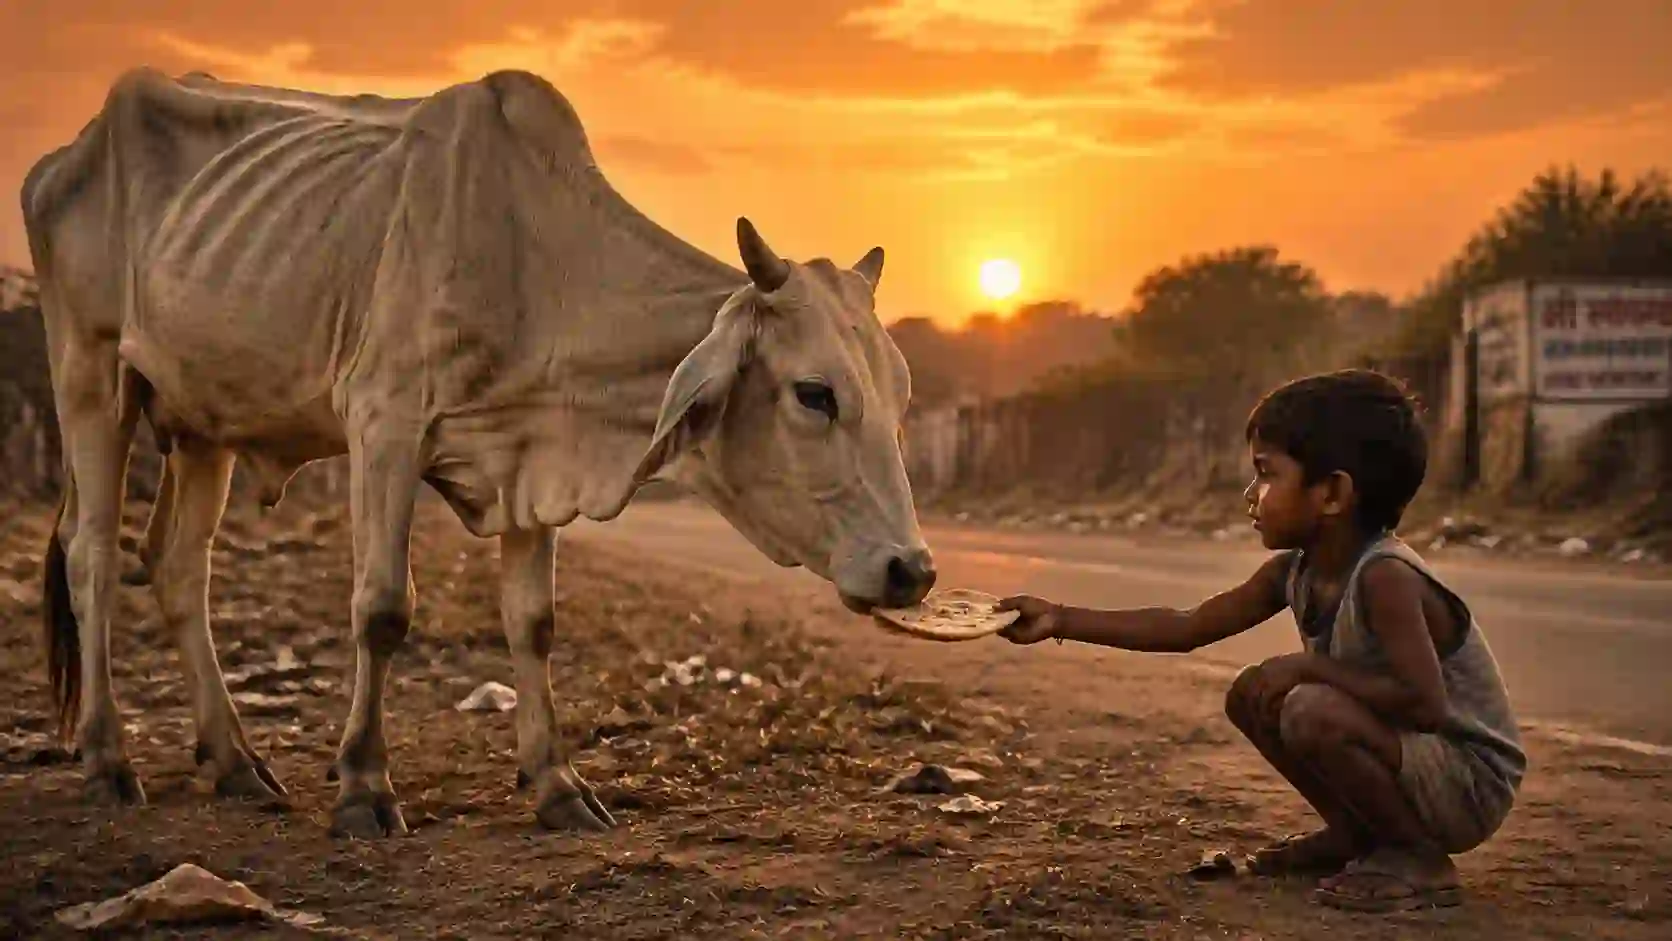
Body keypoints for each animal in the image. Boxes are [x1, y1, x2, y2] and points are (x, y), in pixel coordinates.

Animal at [22, 67, 937, 838]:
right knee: (92, 557)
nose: (913, 570)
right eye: (814, 393)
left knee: (179, 564)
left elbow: (533, 622)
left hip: (204, 420)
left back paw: (235, 760)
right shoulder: (384, 425)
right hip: (90, 375)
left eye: (902, 397)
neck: (538, 265)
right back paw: (108, 758)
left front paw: (558, 783)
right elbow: (382, 608)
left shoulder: (531, 463)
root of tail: (63, 157)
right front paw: (363, 785)